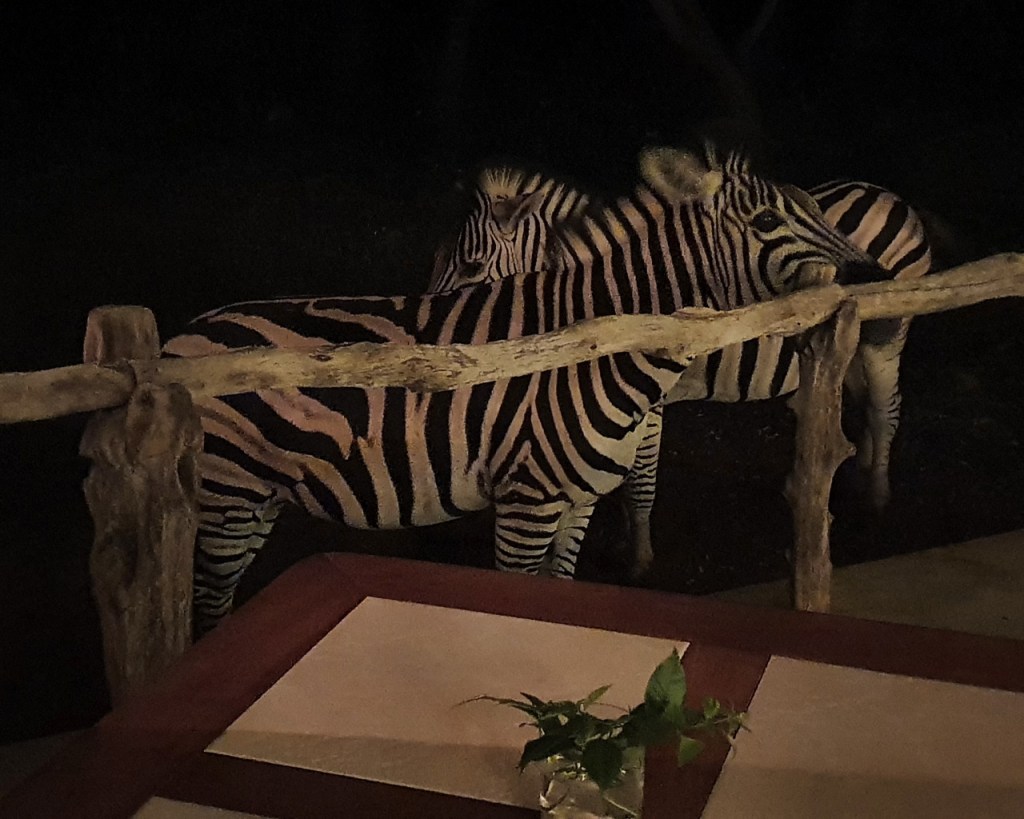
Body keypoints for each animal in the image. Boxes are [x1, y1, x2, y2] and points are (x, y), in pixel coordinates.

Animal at [431, 162, 932, 577]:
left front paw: (638, 556)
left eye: (471, 266)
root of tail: (889, 195)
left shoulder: (647, 403)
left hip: (888, 337)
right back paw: (859, 469)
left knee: (885, 410)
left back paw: (877, 497)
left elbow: (641, 480)